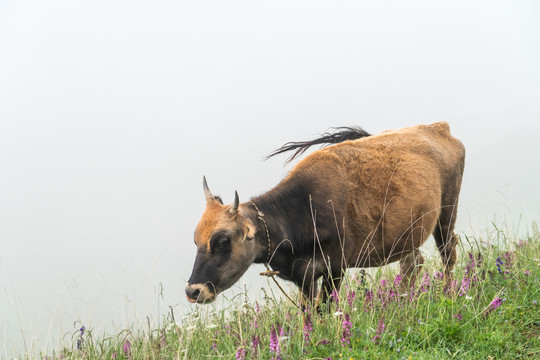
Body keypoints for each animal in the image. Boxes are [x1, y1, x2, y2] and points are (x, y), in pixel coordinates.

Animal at [185, 122, 464, 306]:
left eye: (222, 241)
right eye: (196, 241)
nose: (193, 291)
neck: (303, 208)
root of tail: (438, 127)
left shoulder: (335, 267)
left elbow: (326, 307)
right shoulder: (303, 276)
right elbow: (309, 311)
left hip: (447, 213)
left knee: (448, 253)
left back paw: (449, 295)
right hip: (407, 236)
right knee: (413, 263)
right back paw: (404, 301)